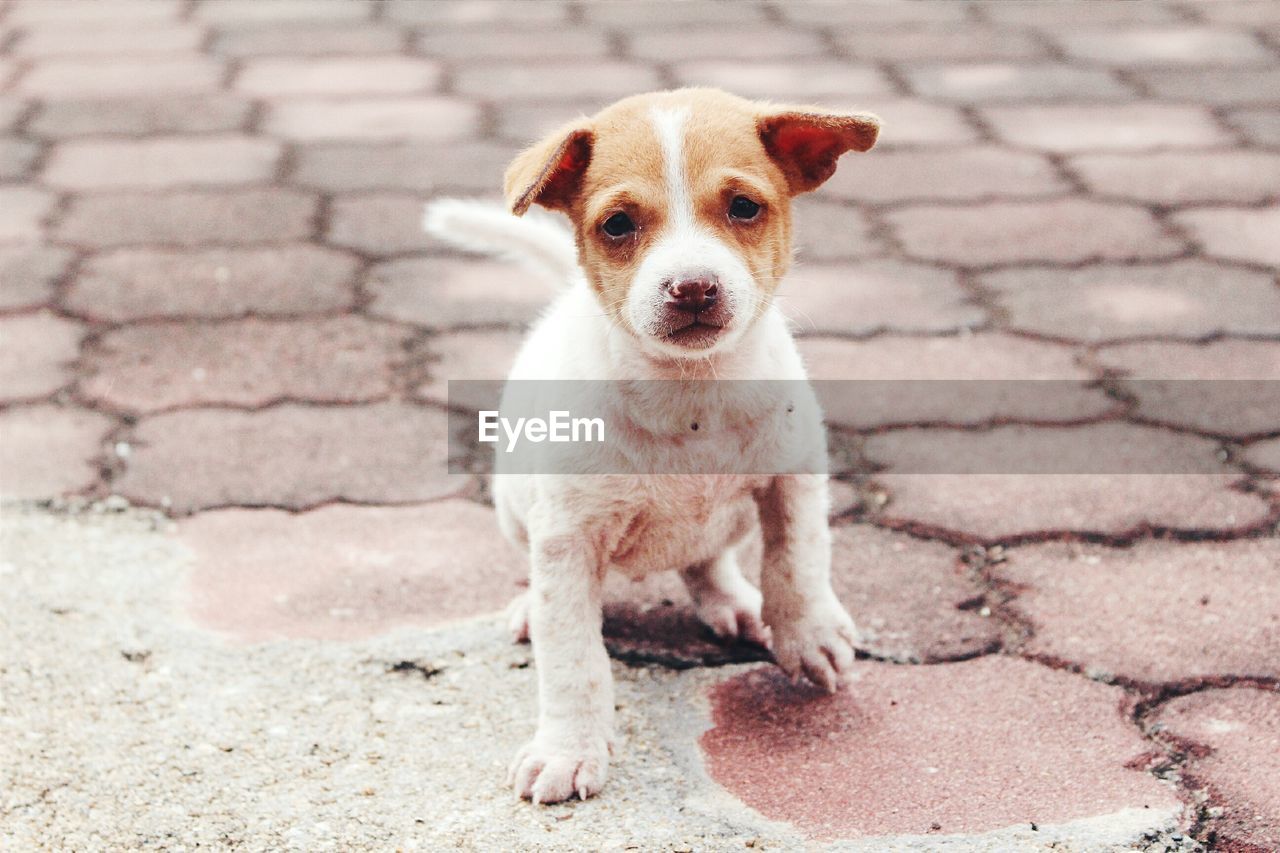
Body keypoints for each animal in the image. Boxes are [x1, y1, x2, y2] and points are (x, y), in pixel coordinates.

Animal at [427, 87, 880, 804]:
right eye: (617, 225)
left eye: (744, 207)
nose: (692, 287)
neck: (689, 393)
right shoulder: (567, 539)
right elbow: (572, 657)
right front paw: (569, 748)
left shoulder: (797, 474)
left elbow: (798, 562)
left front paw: (807, 634)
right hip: (514, 509)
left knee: (707, 561)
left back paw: (735, 602)